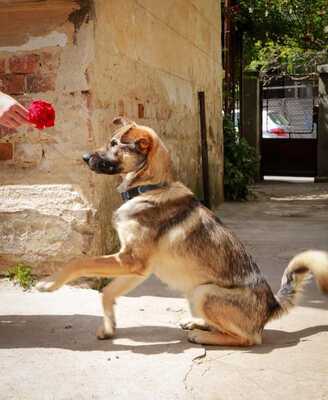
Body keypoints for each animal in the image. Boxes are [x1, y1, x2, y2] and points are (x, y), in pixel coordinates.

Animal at [37, 116, 328, 346]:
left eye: (114, 144)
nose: (84, 157)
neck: (150, 188)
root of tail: (271, 306)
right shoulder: (136, 267)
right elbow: (107, 293)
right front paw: (109, 328)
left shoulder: (129, 260)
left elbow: (78, 261)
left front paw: (49, 282)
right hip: (194, 292)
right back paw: (198, 324)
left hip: (204, 293)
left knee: (248, 338)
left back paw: (202, 335)